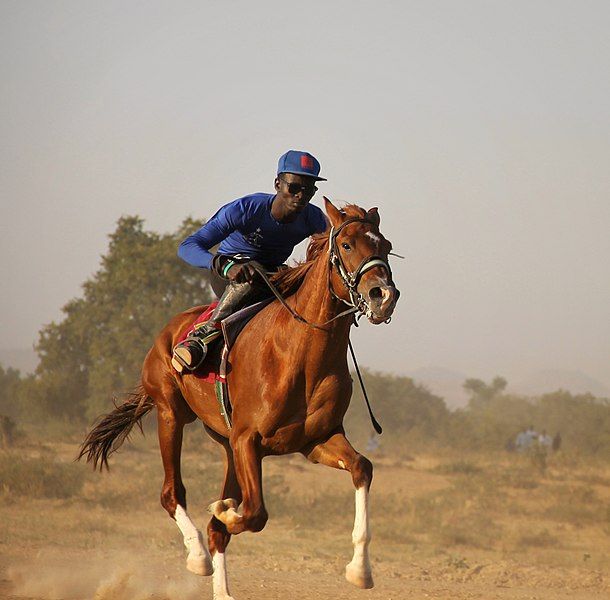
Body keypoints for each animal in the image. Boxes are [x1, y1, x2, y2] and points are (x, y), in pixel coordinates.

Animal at [77, 199, 400, 596]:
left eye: (386, 246)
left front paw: (360, 570)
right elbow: (255, 513)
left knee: (216, 530)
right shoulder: (248, 439)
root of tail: (167, 333)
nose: (383, 296)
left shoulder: (314, 440)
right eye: (348, 245)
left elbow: (362, 468)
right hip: (171, 414)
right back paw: (197, 555)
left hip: (227, 445)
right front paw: (225, 510)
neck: (301, 354)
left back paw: (223, 588)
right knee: (172, 494)